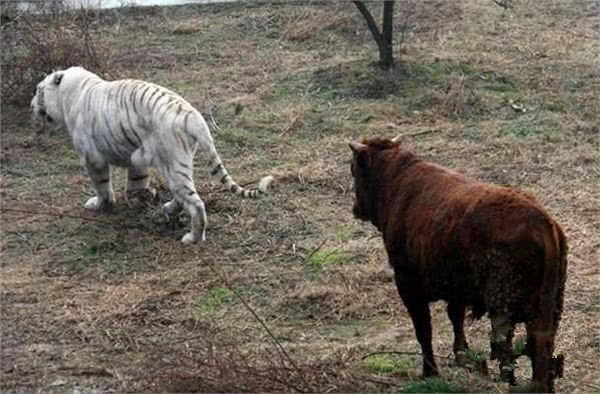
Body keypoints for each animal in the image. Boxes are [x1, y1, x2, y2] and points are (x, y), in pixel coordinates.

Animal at [30, 67, 274, 243]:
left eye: (38, 90)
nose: (31, 106)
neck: (72, 92)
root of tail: (193, 116)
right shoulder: (136, 156)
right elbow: (136, 181)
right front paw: (138, 198)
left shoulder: (92, 157)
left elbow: (102, 186)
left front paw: (101, 204)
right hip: (176, 164)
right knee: (184, 194)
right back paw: (168, 208)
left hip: (172, 164)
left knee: (196, 204)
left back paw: (193, 238)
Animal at [346, 138, 568, 390]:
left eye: (353, 169)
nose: (356, 208)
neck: (397, 182)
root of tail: (543, 223)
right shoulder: (456, 289)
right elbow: (456, 317)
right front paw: (461, 355)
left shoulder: (409, 286)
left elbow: (424, 330)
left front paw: (430, 372)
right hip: (550, 309)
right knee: (541, 347)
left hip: (503, 308)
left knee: (508, 349)